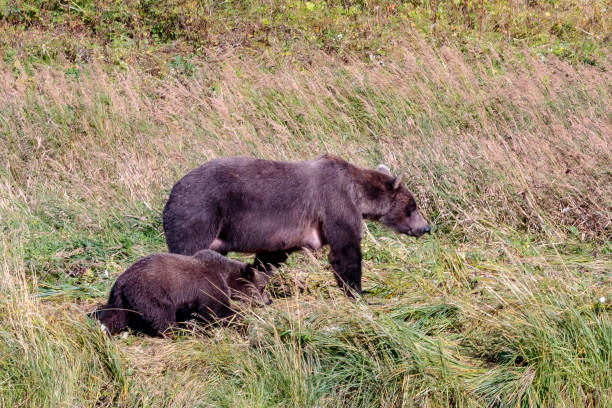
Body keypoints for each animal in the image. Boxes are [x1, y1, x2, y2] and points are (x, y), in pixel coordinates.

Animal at [94, 247, 270, 336]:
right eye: (263, 287)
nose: (269, 300)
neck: (226, 276)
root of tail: (122, 281)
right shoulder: (209, 285)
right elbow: (217, 310)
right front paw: (241, 319)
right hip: (151, 292)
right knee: (162, 316)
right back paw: (180, 331)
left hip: (120, 299)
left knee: (114, 316)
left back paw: (102, 328)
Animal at [163, 155, 430, 298]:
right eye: (413, 206)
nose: (426, 228)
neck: (359, 194)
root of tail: (172, 192)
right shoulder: (335, 204)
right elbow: (346, 250)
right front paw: (358, 292)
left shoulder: (286, 233)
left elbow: (272, 256)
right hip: (199, 213)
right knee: (187, 252)